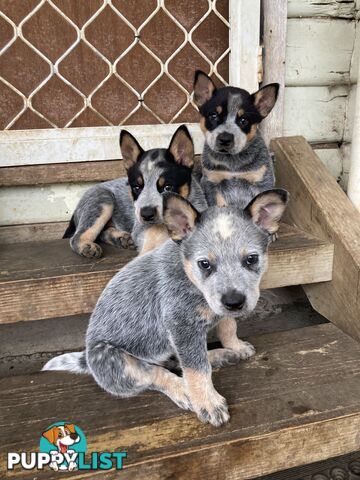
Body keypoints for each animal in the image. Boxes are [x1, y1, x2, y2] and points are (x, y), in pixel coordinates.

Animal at [43, 188, 288, 428]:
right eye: (205, 264)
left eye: (251, 259)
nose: (234, 302)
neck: (189, 278)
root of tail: (86, 359)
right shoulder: (182, 327)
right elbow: (196, 370)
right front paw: (208, 403)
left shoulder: (218, 306)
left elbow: (228, 326)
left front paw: (235, 346)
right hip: (114, 358)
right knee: (157, 374)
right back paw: (185, 391)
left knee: (176, 362)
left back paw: (222, 355)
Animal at [63, 125, 207, 256]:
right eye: (136, 187)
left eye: (167, 187)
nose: (146, 214)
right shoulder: (141, 227)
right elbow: (154, 232)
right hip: (102, 200)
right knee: (76, 237)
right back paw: (86, 246)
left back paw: (121, 239)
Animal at [194, 70, 278, 213]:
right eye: (213, 116)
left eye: (243, 120)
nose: (225, 139)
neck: (233, 164)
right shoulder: (211, 182)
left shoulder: (262, 182)